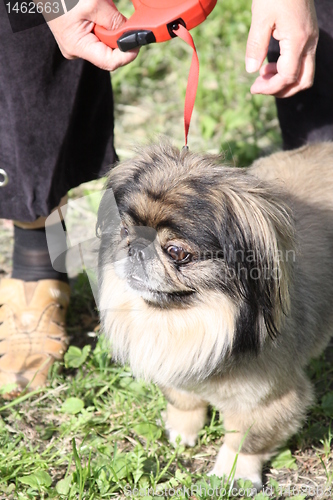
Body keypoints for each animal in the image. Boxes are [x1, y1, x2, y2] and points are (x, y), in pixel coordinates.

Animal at [96, 141, 332, 488]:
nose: (136, 247)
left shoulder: (269, 400)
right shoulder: (174, 367)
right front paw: (182, 431)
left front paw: (234, 473)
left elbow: (246, 440)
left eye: (177, 252)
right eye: (125, 229)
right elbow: (183, 401)